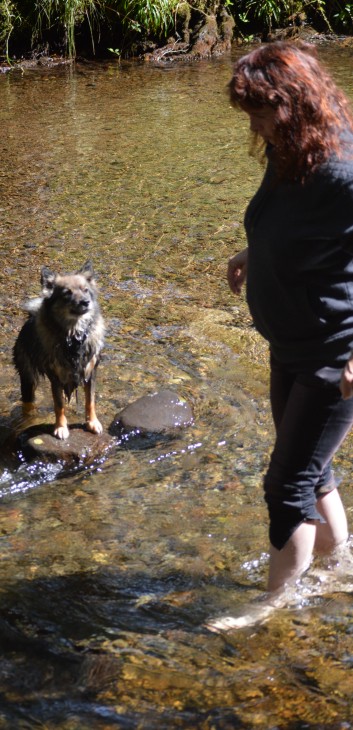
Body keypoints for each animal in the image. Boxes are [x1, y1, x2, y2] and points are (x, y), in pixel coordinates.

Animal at [12, 258, 106, 438]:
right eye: (67, 293)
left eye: (85, 290)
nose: (85, 302)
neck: (74, 336)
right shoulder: (55, 376)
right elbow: (59, 405)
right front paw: (61, 427)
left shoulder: (90, 372)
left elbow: (90, 401)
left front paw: (92, 423)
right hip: (28, 378)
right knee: (28, 401)